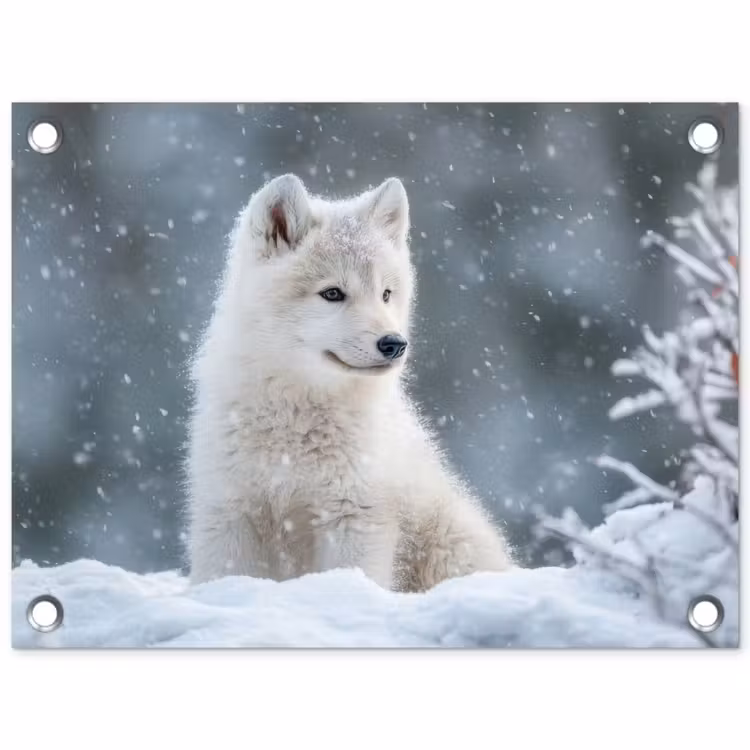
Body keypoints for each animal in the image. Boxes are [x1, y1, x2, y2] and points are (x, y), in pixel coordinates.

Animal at [184, 173, 515, 592]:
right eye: (332, 293)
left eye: (386, 293)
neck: (296, 420)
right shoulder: (230, 512)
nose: (394, 344)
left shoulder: (354, 516)